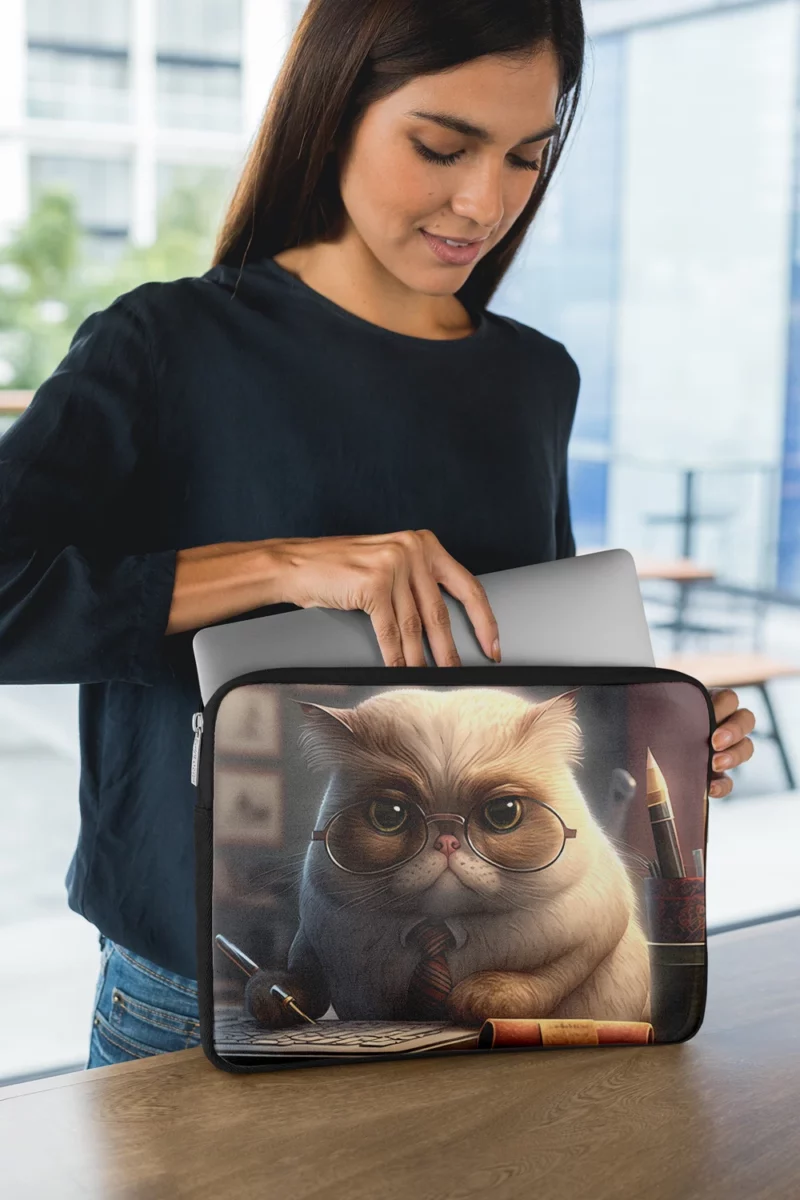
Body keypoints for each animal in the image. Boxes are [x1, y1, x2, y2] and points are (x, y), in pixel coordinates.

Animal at [247, 691, 652, 1027]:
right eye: (389, 815)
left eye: (503, 813)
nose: (446, 841)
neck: (437, 927)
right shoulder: (314, 938)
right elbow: (300, 978)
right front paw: (273, 994)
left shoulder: (596, 934)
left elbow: (546, 978)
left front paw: (479, 995)